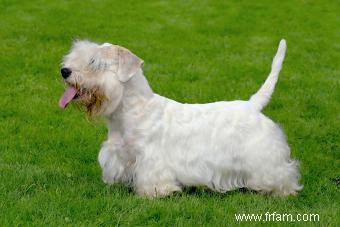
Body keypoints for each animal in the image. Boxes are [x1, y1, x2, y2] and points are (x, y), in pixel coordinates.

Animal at [59, 39, 302, 197]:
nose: (64, 71)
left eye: (94, 62)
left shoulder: (151, 160)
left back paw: (281, 191)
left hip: (264, 158)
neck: (130, 111)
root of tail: (253, 105)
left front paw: (155, 193)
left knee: (282, 173)